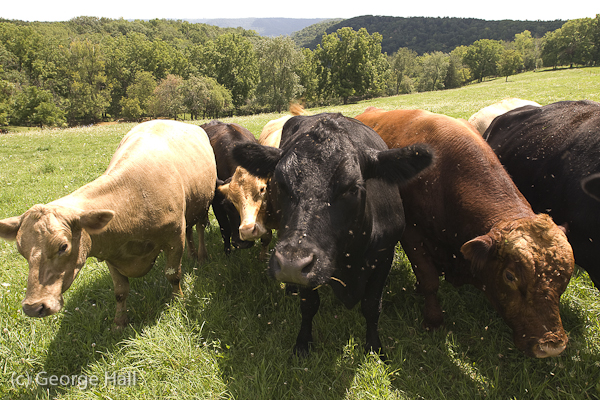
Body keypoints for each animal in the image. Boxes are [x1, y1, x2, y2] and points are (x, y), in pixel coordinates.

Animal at [0, 122, 217, 328]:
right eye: (21, 250)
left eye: (63, 246)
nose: (33, 307)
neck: (132, 200)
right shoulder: (111, 252)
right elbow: (120, 291)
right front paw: (119, 322)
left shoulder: (174, 239)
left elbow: (173, 275)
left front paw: (178, 300)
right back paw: (192, 254)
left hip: (202, 205)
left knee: (198, 229)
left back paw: (201, 255)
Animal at [231, 112, 432, 356]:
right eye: (279, 184)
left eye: (352, 188)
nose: (291, 264)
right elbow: (309, 305)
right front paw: (302, 343)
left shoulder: (385, 256)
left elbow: (372, 305)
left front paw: (374, 347)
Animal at [354, 108, 576, 358]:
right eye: (510, 276)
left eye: (565, 277)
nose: (552, 344)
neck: (443, 173)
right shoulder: (412, 233)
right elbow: (429, 280)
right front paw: (433, 320)